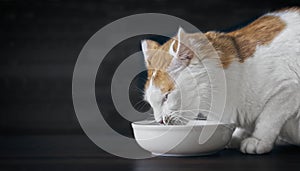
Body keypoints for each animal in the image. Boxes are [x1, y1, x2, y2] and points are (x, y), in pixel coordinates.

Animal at [141, 8, 300, 154]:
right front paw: (236, 136)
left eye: (166, 97)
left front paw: (258, 139)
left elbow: (268, 118)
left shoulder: (289, 89)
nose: (160, 121)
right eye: (150, 102)